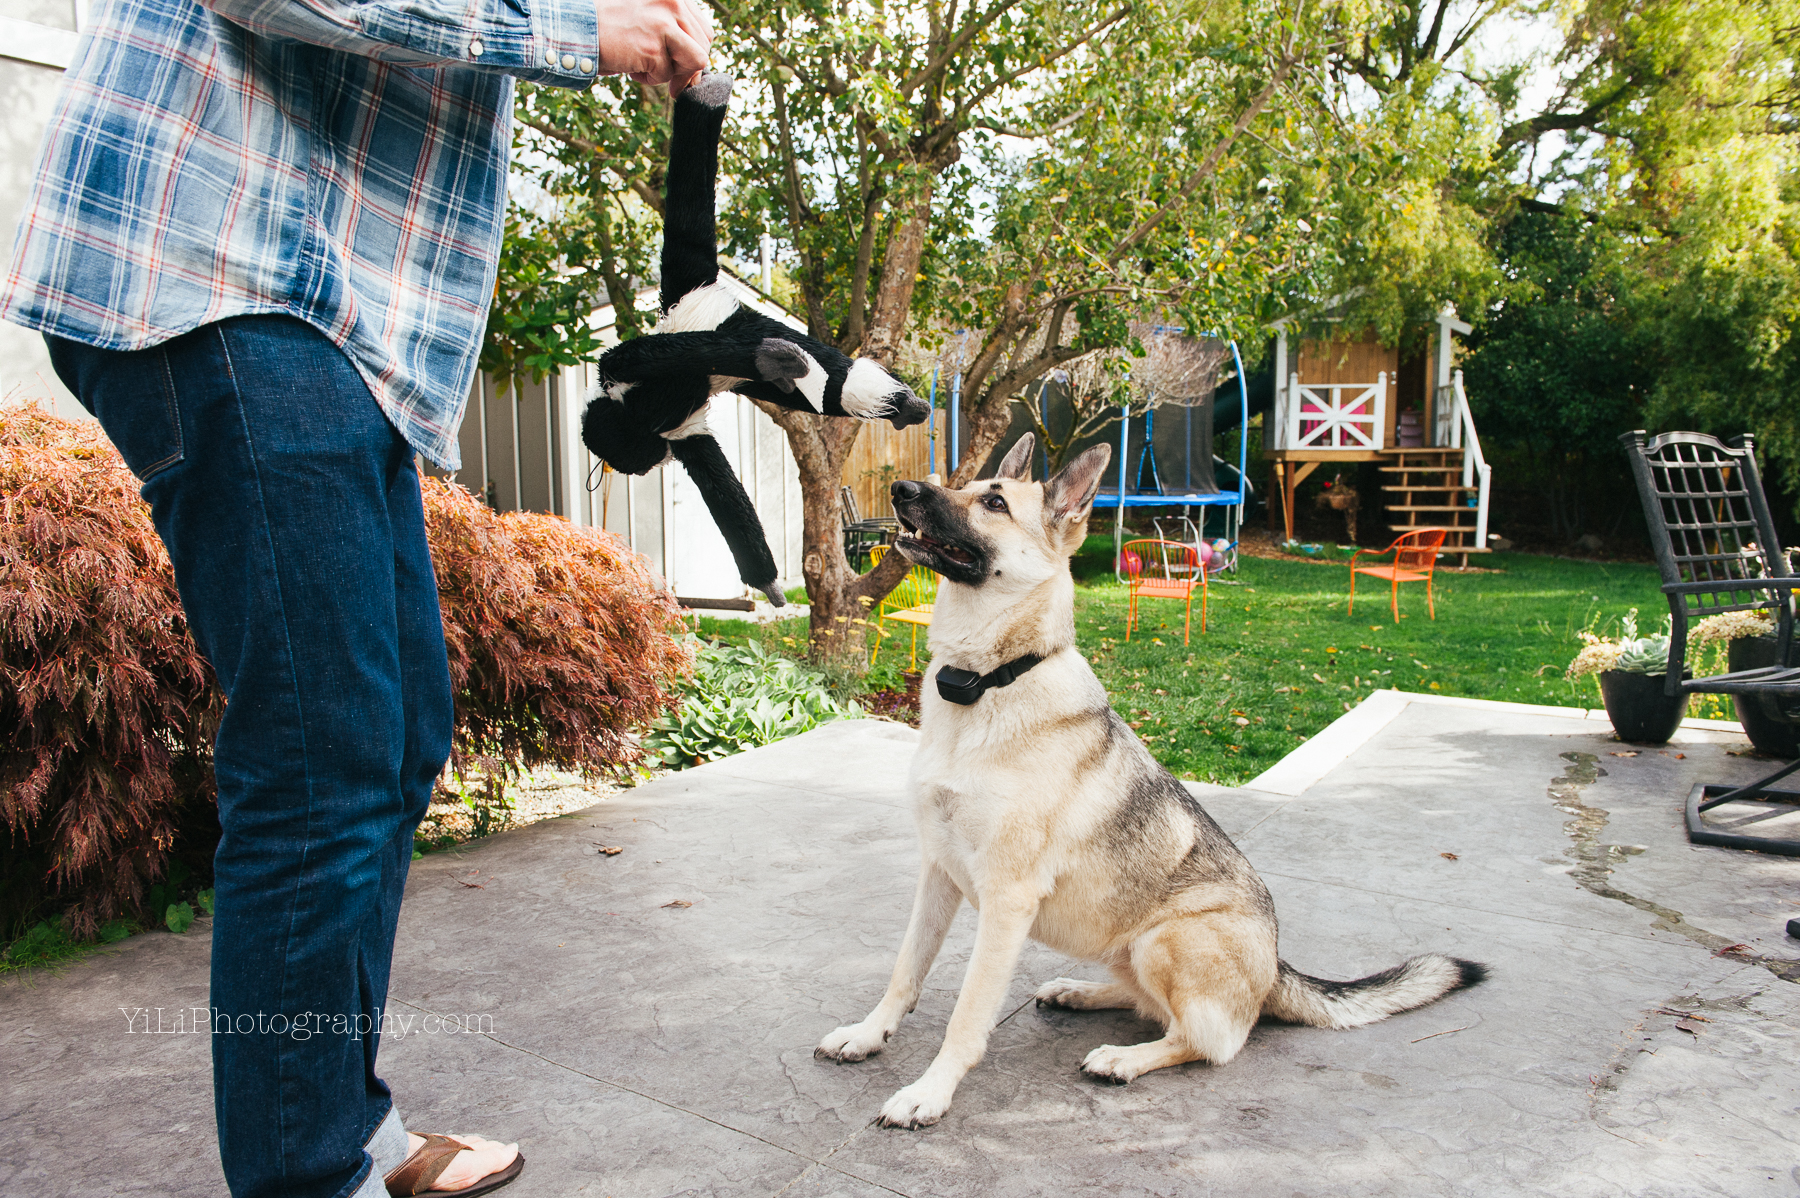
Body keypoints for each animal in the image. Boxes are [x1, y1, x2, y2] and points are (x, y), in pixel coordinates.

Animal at [820, 433, 1490, 1122]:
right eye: (967, 486)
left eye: (995, 502)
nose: (901, 490)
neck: (989, 682)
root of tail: (1277, 967)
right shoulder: (939, 873)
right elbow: (906, 970)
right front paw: (869, 1034)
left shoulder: (1005, 902)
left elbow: (967, 1014)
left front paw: (930, 1091)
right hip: (1124, 946)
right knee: (1148, 1004)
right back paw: (1079, 992)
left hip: (1164, 940)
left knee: (1210, 1039)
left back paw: (1124, 1058)